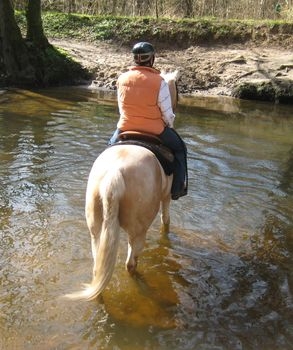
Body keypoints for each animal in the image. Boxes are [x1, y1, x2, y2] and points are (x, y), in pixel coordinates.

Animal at [65, 69, 178, 300]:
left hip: (96, 228)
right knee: (130, 264)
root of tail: (114, 173)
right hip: (137, 231)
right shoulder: (167, 197)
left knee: (98, 266)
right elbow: (166, 221)